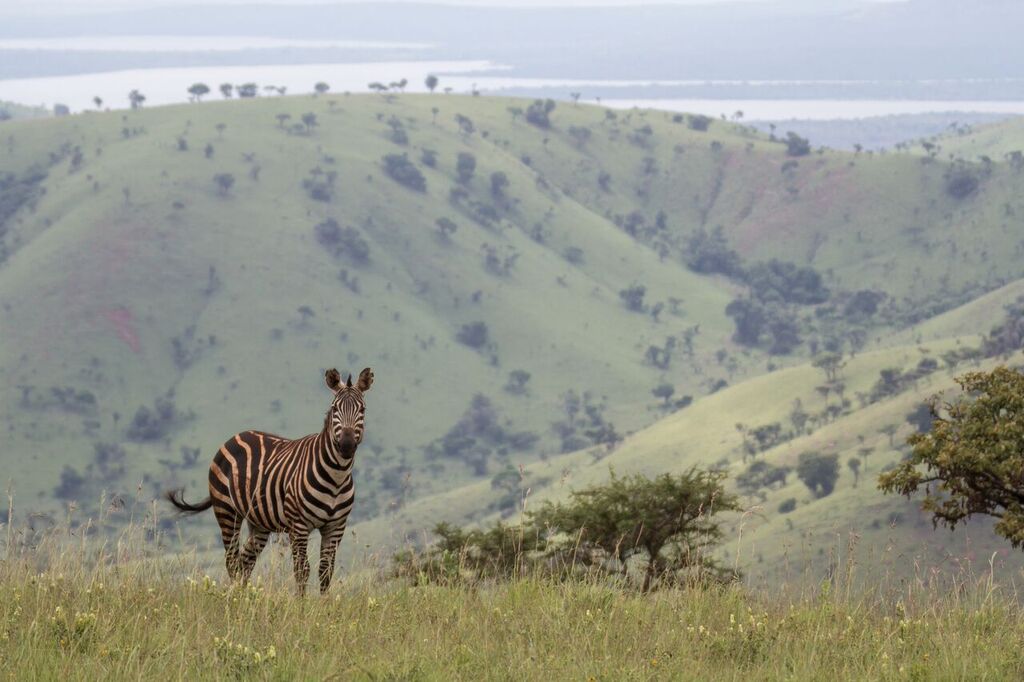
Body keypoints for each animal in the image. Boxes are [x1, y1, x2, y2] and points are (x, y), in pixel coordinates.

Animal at [166, 367, 373, 594]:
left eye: (362, 410)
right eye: (335, 409)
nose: (346, 445)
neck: (336, 477)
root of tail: (237, 435)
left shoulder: (336, 527)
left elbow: (326, 571)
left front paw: (325, 603)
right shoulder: (298, 526)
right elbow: (302, 569)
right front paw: (301, 604)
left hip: (258, 523)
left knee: (245, 562)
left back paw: (243, 598)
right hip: (227, 511)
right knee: (232, 560)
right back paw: (236, 598)